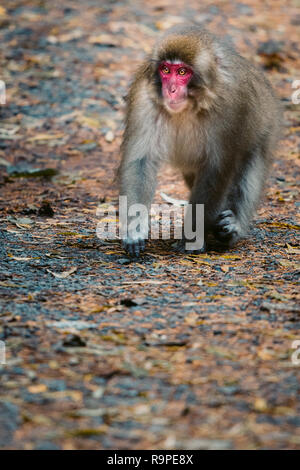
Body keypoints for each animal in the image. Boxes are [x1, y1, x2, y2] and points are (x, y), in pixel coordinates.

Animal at [117, 24, 278, 258]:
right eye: (166, 70)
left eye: (183, 72)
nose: (171, 90)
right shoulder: (144, 98)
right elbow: (140, 161)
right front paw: (134, 229)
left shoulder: (231, 105)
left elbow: (216, 169)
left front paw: (193, 236)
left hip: (266, 129)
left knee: (250, 167)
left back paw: (232, 227)